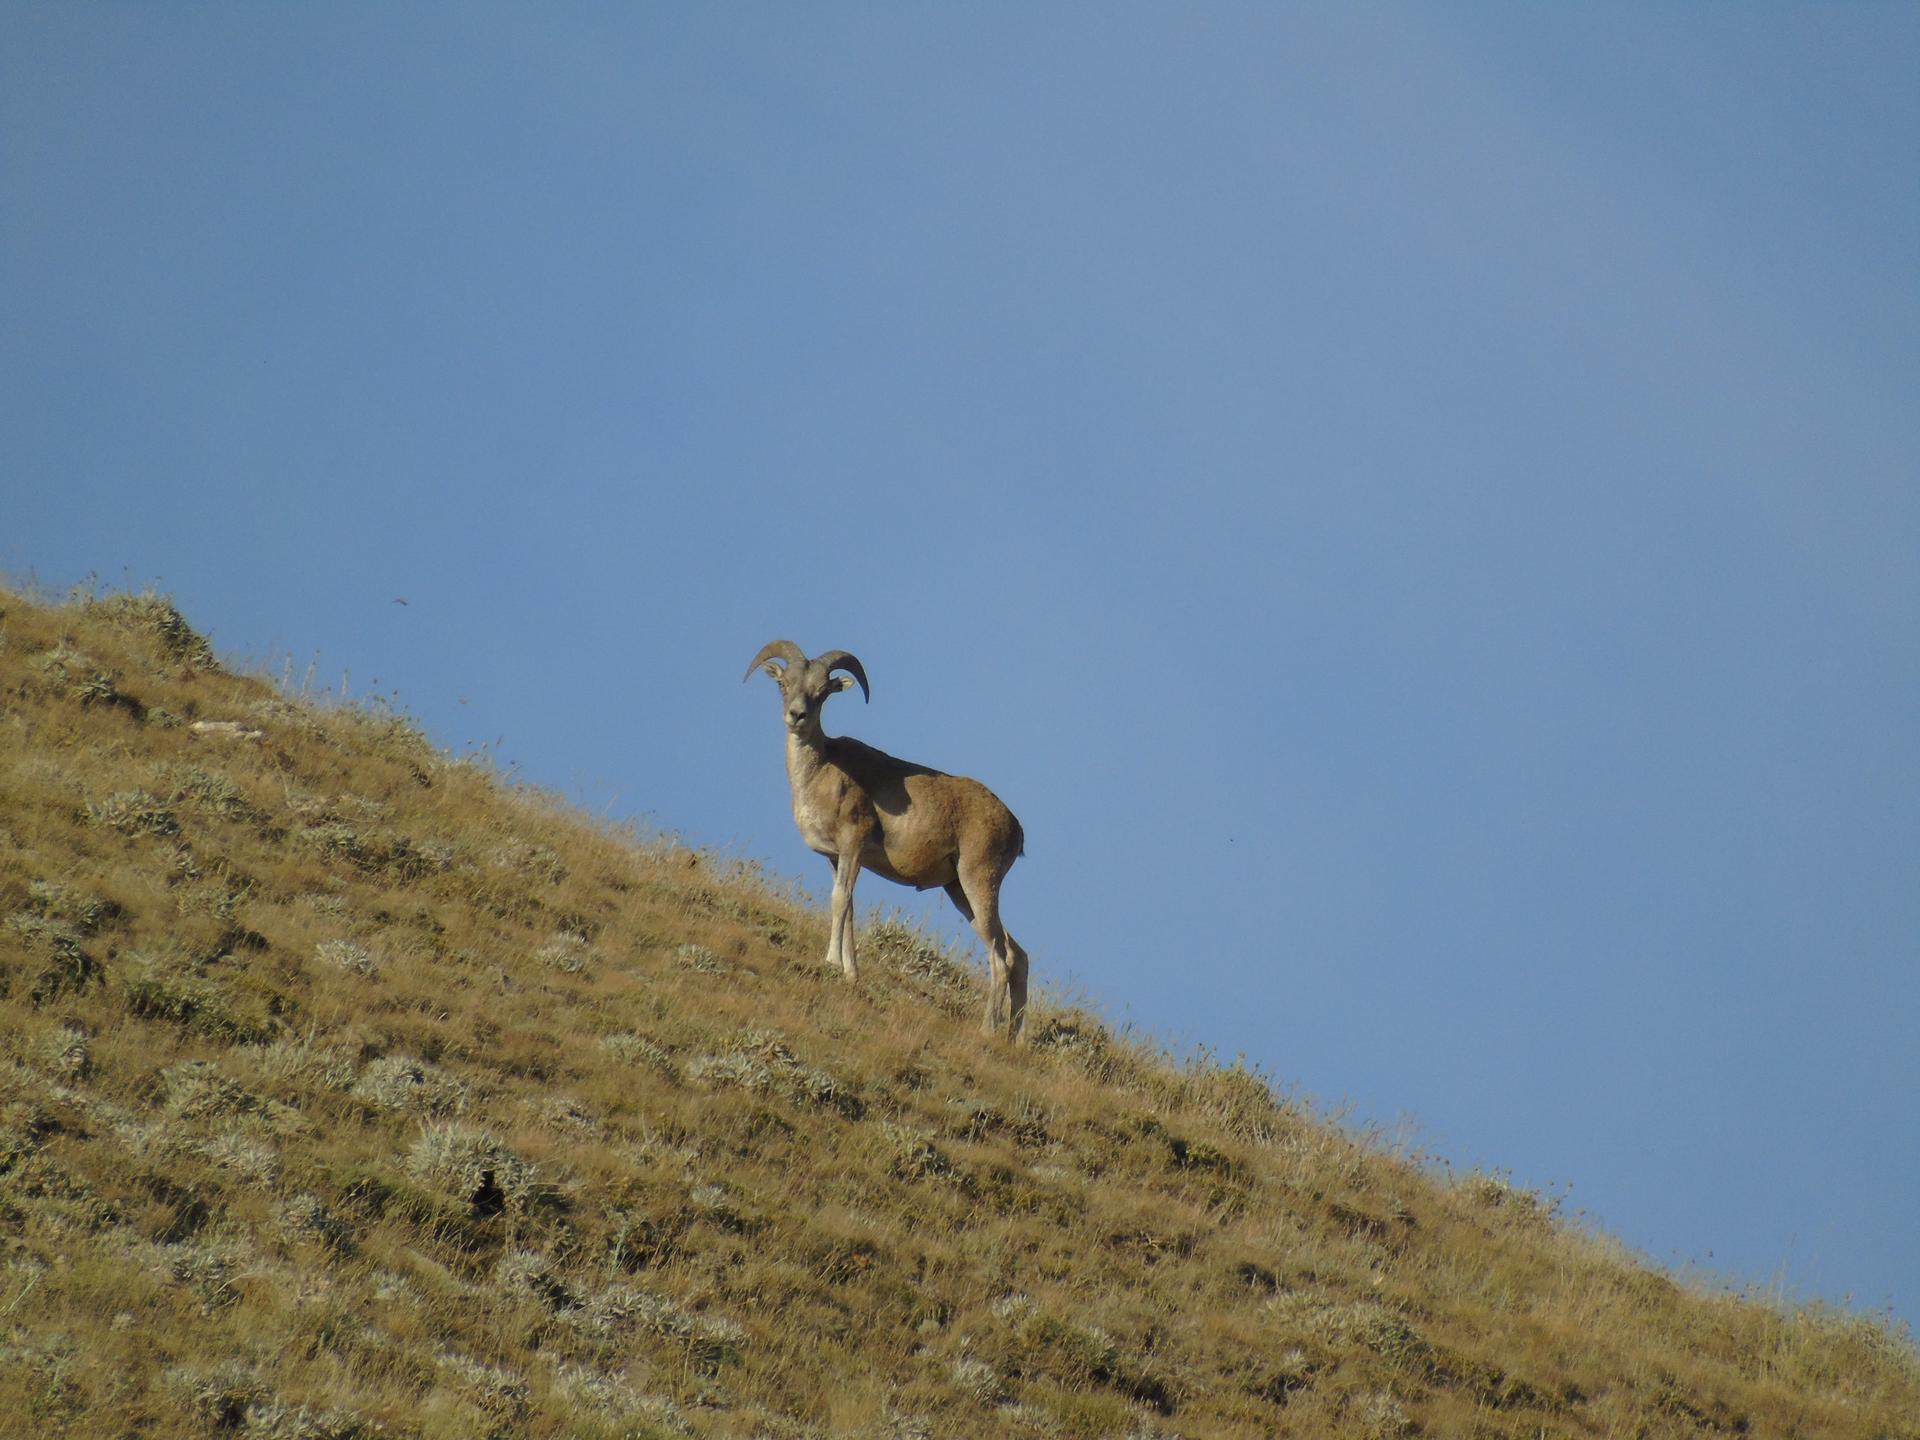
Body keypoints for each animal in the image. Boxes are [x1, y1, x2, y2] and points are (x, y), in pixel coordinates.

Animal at [745, 640, 1031, 1038]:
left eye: (821, 692)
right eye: (783, 684)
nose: (796, 716)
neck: (818, 774)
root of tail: (1014, 827)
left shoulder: (852, 846)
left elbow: (839, 901)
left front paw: (831, 962)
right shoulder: (837, 858)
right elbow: (847, 907)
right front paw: (850, 972)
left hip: (978, 882)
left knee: (1001, 957)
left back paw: (987, 1030)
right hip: (959, 892)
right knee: (1018, 956)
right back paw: (1013, 1040)